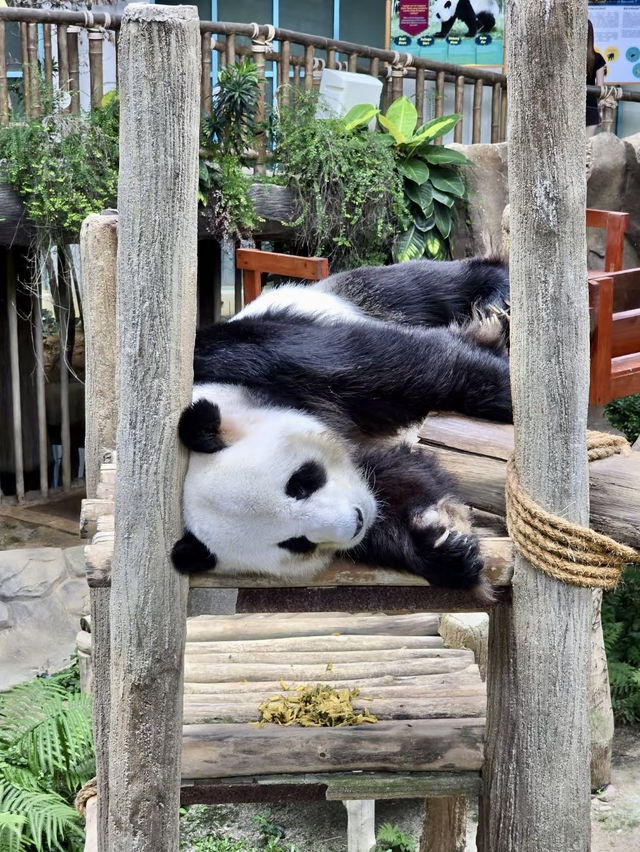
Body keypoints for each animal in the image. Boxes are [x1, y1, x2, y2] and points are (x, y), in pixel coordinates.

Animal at [170, 256, 510, 596]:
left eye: (301, 482)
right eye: (296, 543)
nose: (358, 521)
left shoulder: (258, 355)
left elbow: (413, 366)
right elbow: (398, 478)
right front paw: (443, 549)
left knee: (423, 288)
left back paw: (494, 302)